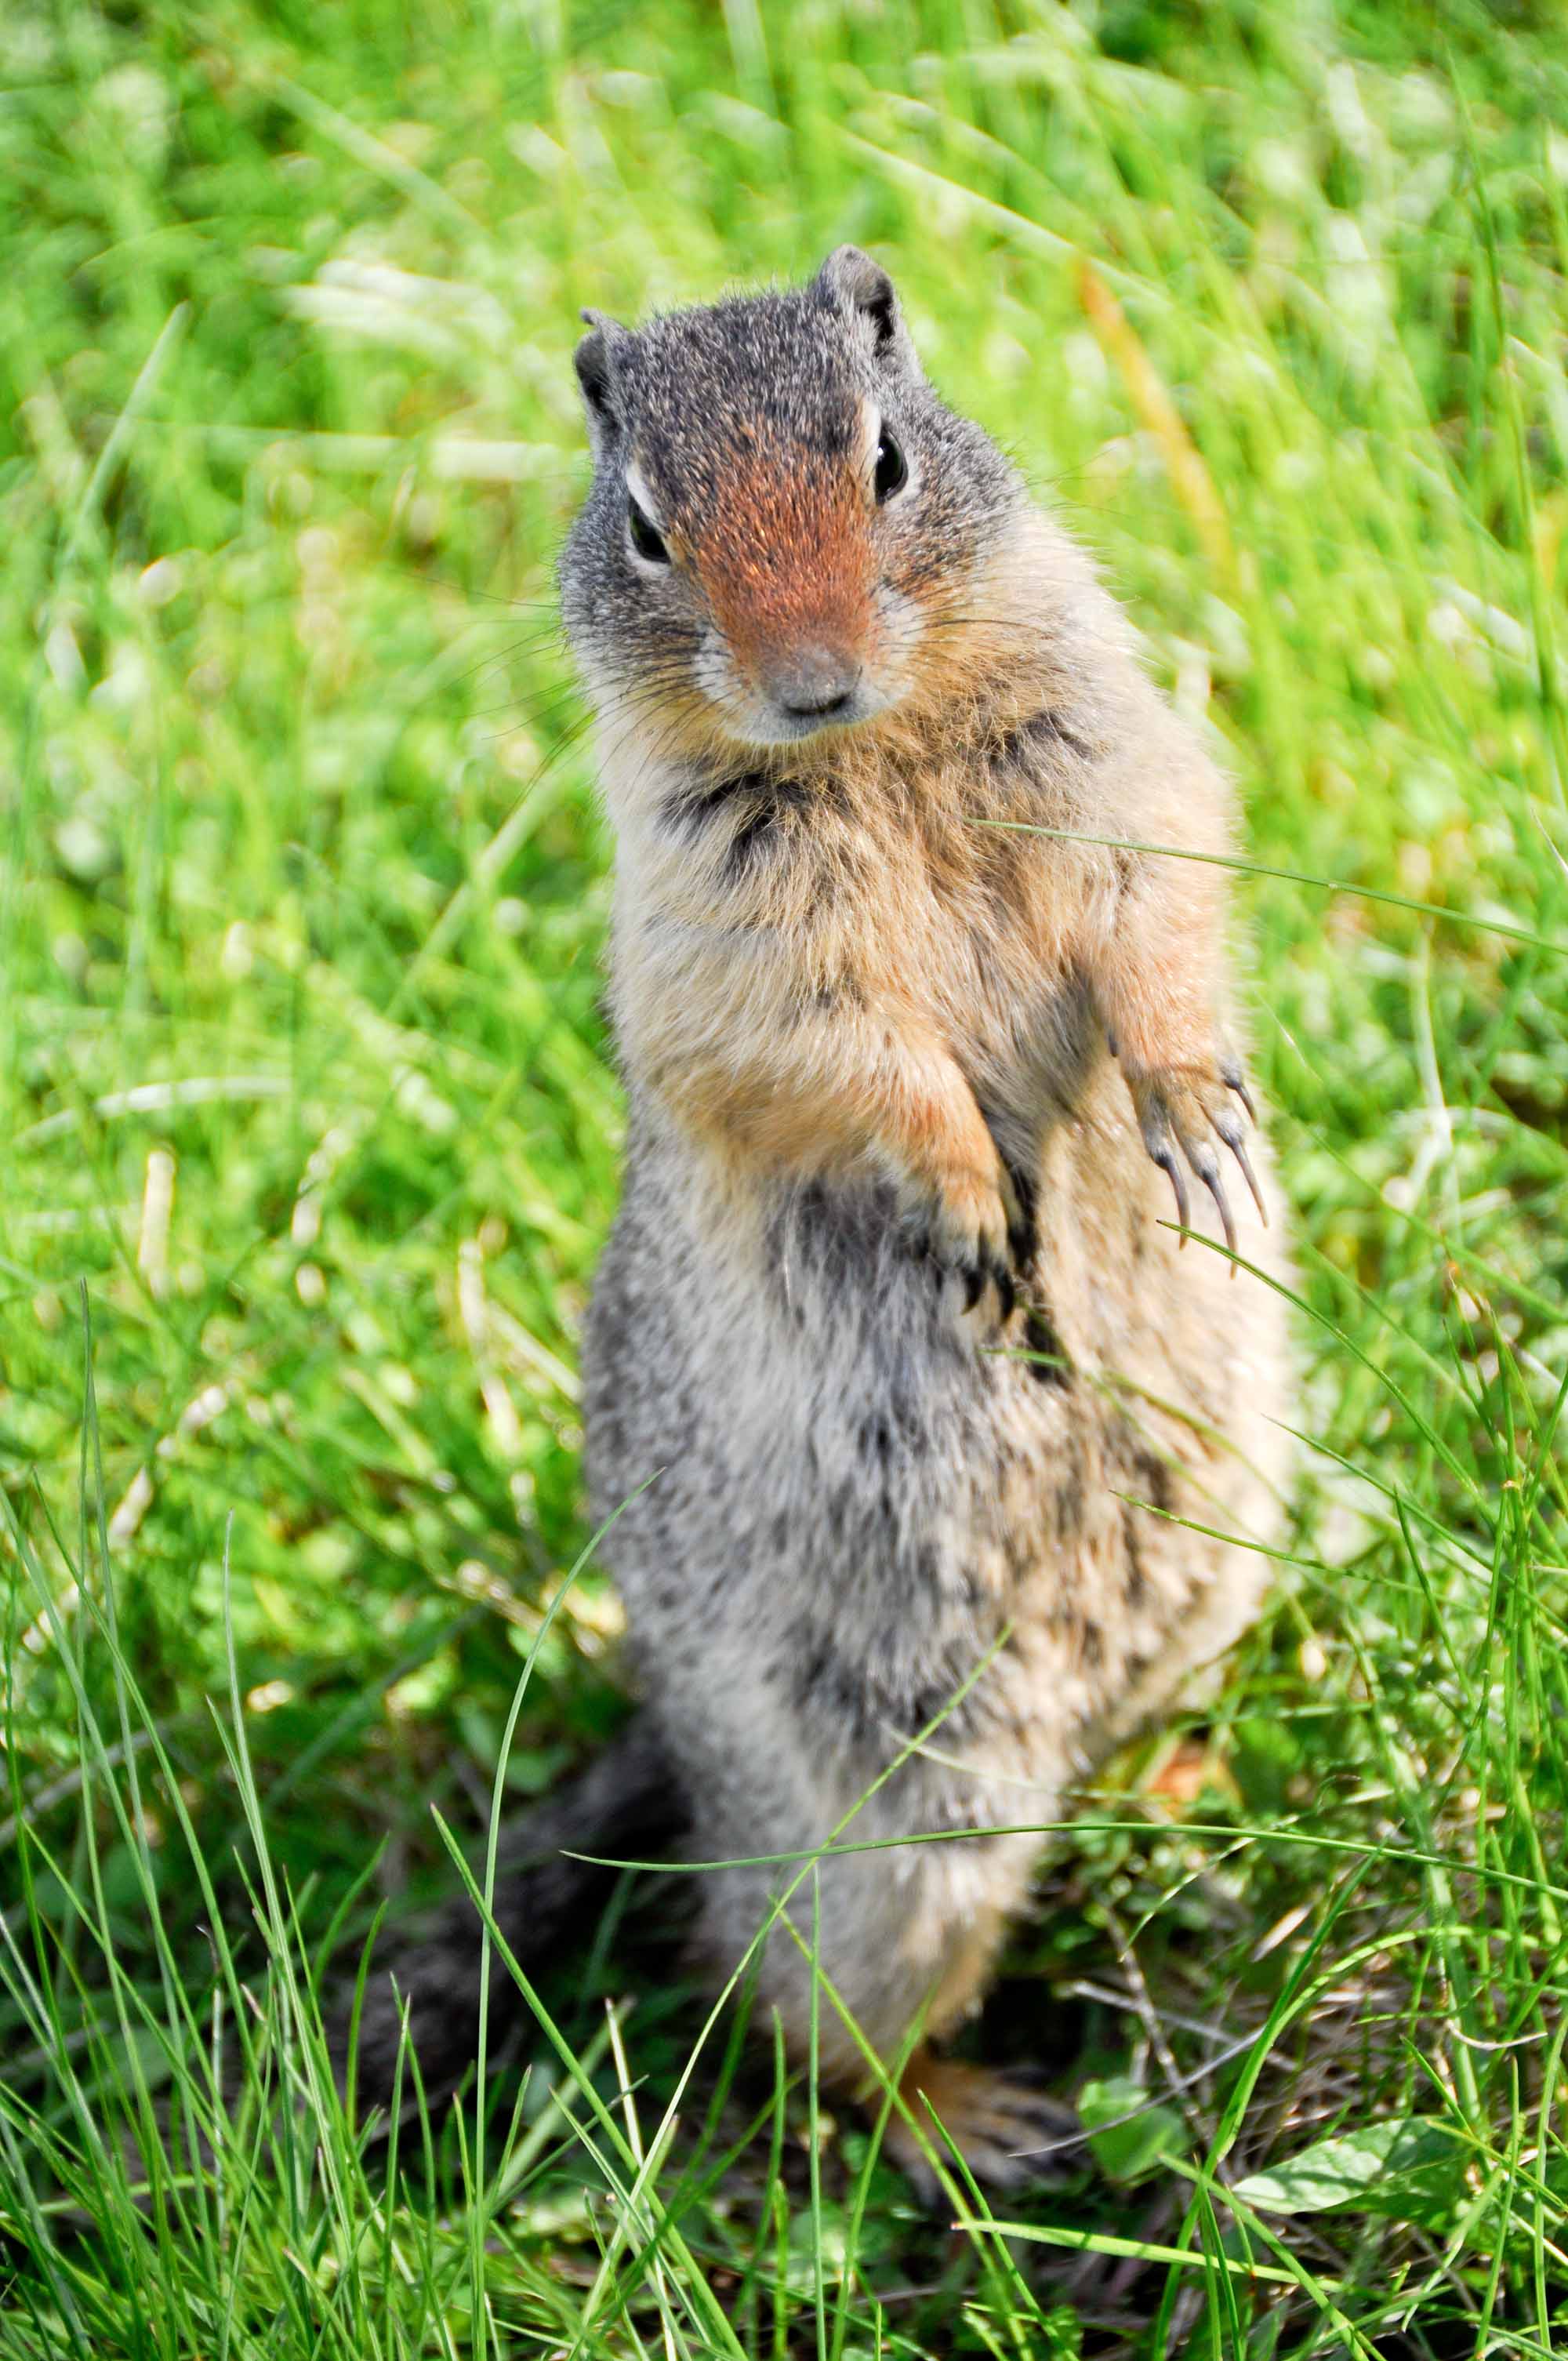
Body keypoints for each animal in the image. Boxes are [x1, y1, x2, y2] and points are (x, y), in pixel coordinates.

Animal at [349, 249, 1294, 2181]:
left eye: (884, 460)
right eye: (647, 525)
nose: (808, 681)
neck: (883, 751)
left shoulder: (1110, 745)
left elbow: (1159, 898)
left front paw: (1193, 1112)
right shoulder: (728, 920)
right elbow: (843, 1057)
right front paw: (975, 1205)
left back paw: (1182, 1780)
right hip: (886, 1842)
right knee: (782, 2012)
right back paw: (973, 2114)